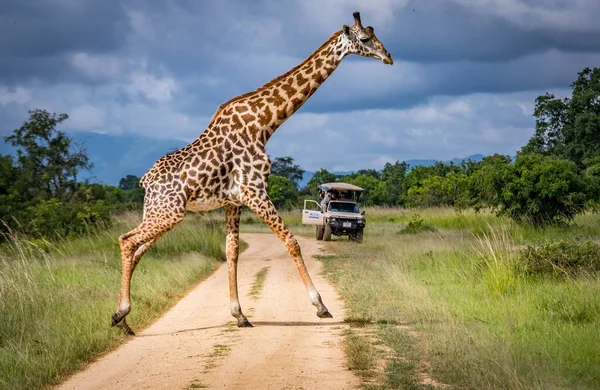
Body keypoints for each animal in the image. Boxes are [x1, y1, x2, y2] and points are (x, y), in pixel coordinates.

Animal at [112, 12, 394, 336]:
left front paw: (239, 314)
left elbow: (232, 251)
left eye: (375, 34)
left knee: (138, 248)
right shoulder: (255, 190)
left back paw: (124, 322)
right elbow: (291, 241)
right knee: (127, 241)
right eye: (365, 39)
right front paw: (320, 306)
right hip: (169, 212)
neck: (263, 123)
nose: (388, 57)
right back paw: (120, 313)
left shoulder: (233, 201)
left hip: (160, 212)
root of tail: (145, 181)